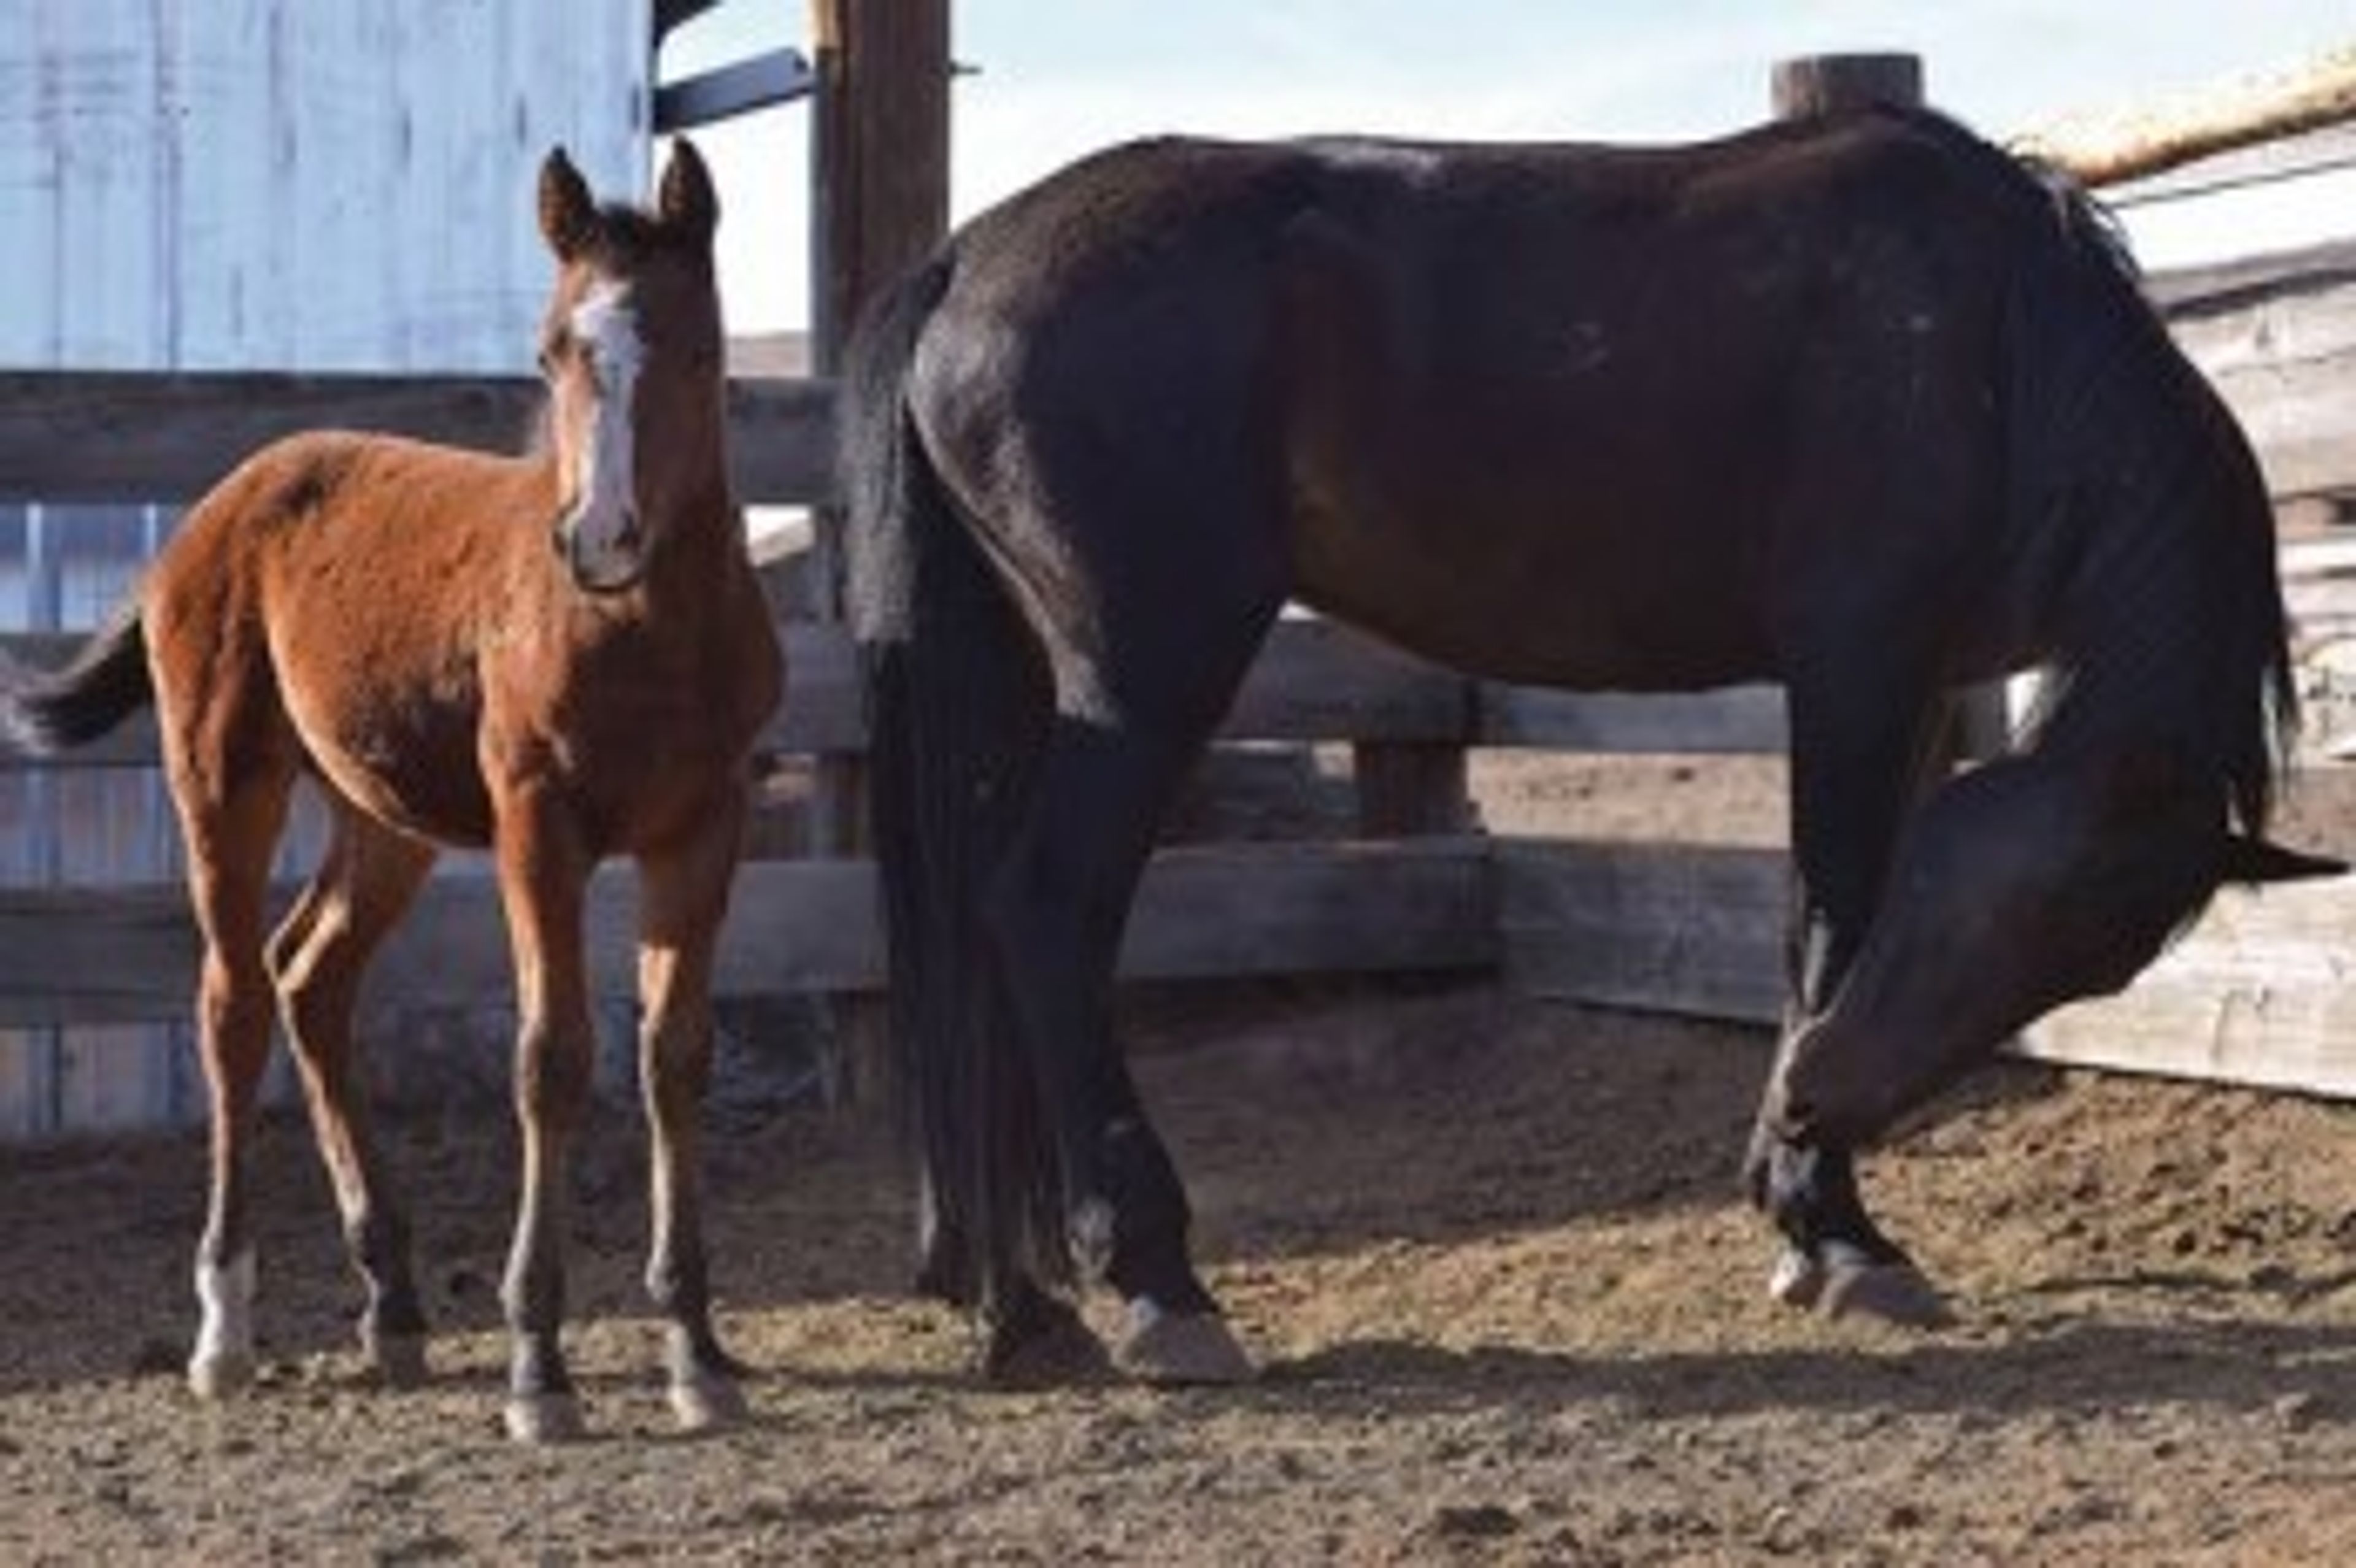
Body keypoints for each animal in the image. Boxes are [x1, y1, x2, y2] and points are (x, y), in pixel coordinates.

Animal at [0, 141, 782, 1441]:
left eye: (698, 349)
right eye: (551, 351)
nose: (601, 538)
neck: (641, 633)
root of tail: (215, 506)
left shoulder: (705, 826)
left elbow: (675, 1055)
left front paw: (697, 1352)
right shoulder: (535, 824)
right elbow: (552, 1057)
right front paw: (538, 1366)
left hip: (381, 819)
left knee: (310, 977)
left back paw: (397, 1304)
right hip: (224, 777)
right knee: (233, 1001)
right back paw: (225, 1327)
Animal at [839, 103, 2342, 1384]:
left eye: (2076, 960)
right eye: (2006, 910)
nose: (1818, 1102)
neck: (1999, 338)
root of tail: (968, 255)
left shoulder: (1916, 695)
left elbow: (1824, 932)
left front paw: (1803, 1215)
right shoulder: (1857, 669)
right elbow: (1828, 917)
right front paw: (1837, 1234)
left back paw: (1026, 1305)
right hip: (1146, 674)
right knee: (1045, 913)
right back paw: (1158, 1284)